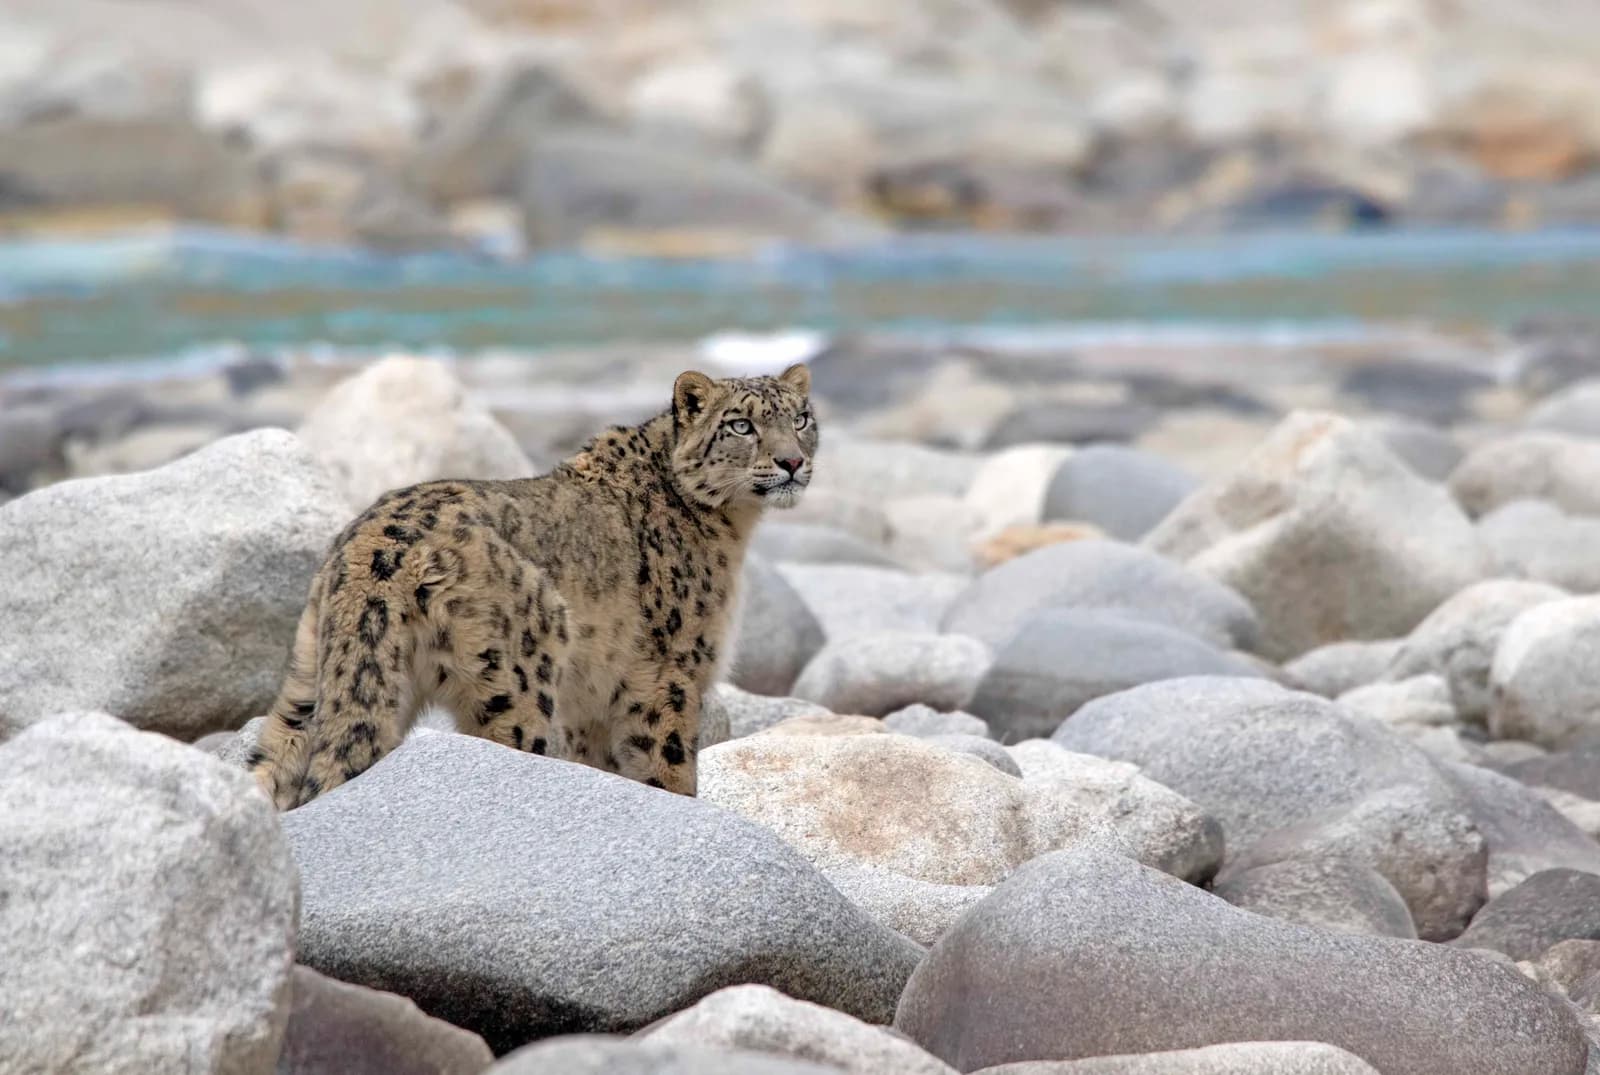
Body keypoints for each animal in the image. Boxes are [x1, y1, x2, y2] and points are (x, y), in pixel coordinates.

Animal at [249, 363, 815, 809]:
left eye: (801, 418)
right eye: (741, 424)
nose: (792, 461)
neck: (732, 529)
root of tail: (370, 548)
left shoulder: (592, 704)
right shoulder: (671, 674)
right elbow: (667, 767)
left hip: (308, 680)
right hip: (516, 683)